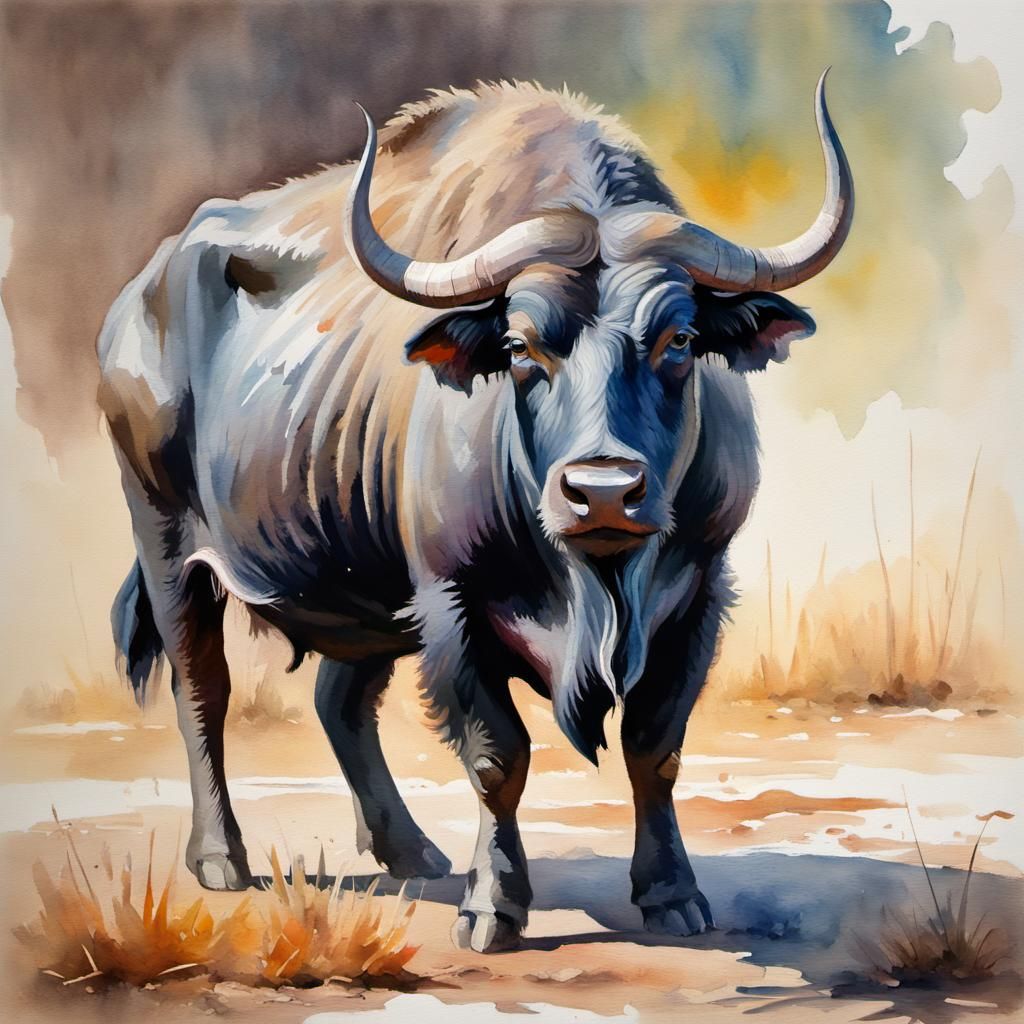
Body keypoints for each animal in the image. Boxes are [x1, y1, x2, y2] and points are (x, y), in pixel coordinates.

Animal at [99, 75, 852, 952]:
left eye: (678, 338)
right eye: (522, 347)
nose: (602, 489)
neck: (594, 583)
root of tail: (142, 293)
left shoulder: (700, 593)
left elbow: (654, 746)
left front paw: (672, 895)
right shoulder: (452, 604)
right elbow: (499, 757)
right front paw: (494, 907)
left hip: (363, 590)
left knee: (338, 703)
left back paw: (410, 851)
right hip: (166, 541)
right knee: (202, 690)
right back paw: (222, 858)